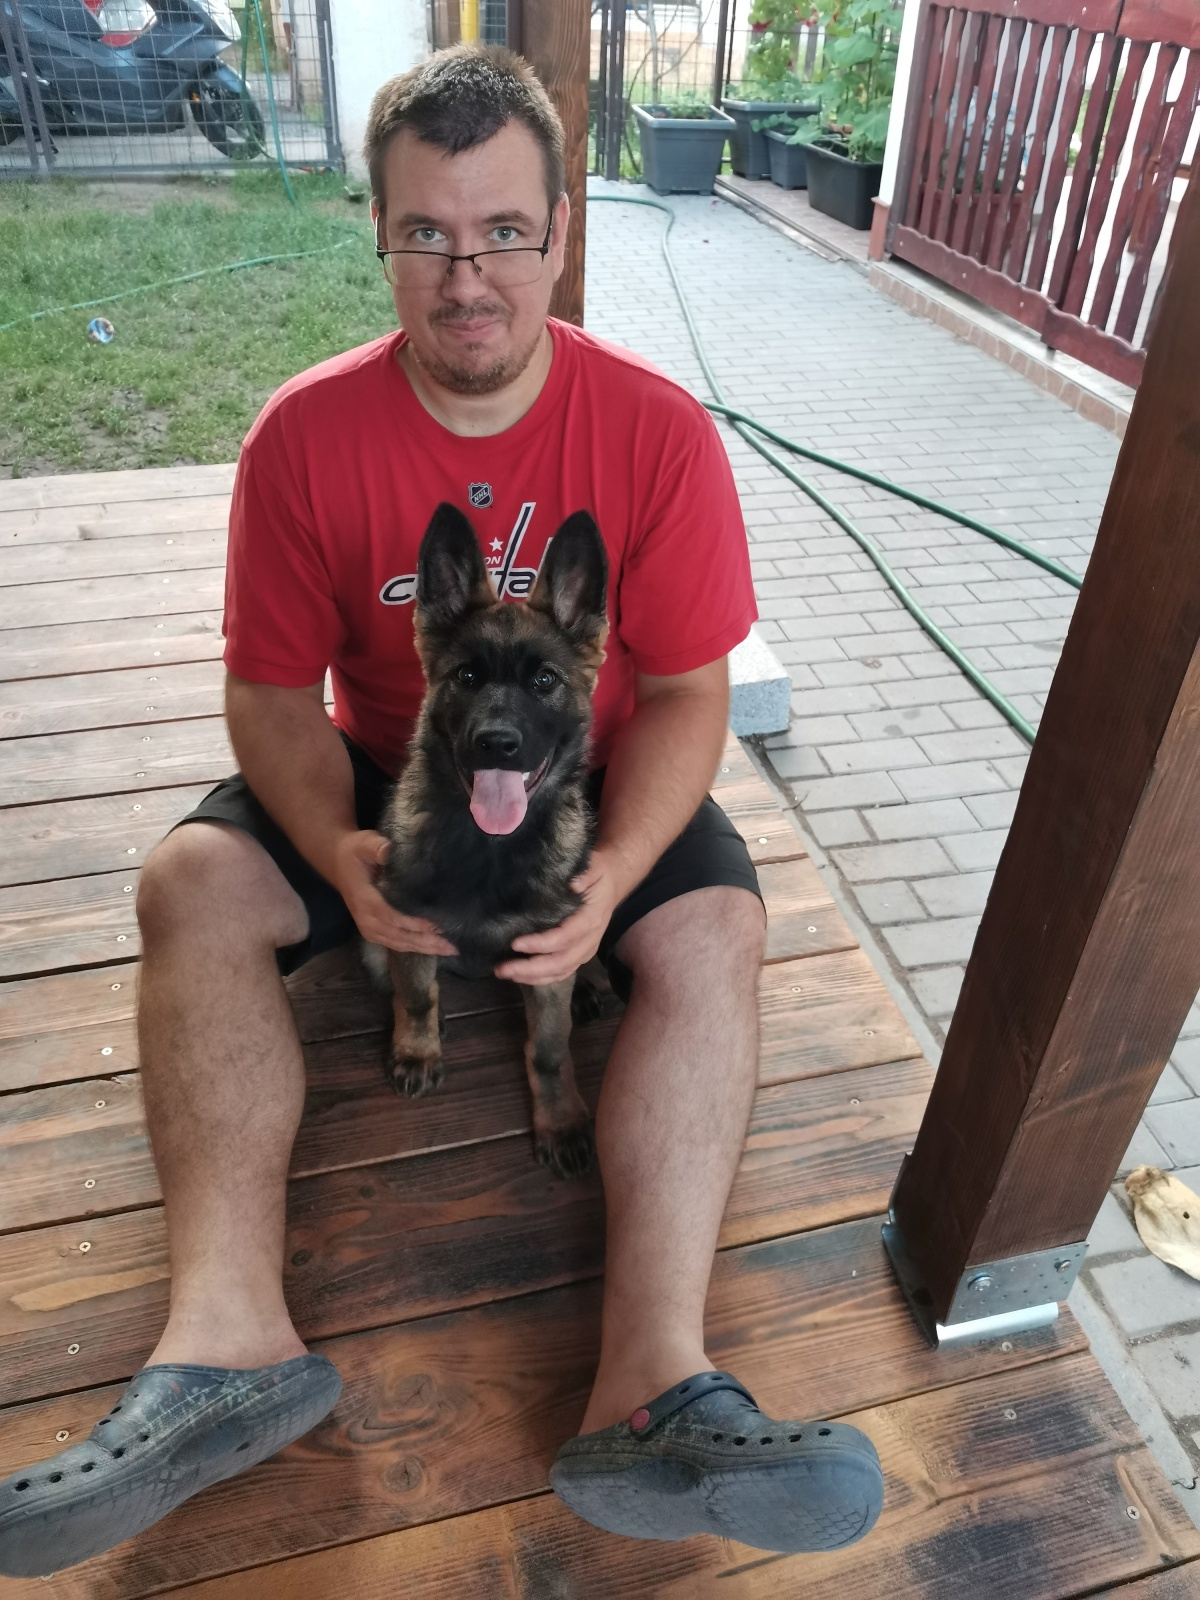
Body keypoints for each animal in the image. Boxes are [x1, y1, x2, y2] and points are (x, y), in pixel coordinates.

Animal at [364, 501, 609, 1179]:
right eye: (467, 676)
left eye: (545, 681)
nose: (497, 742)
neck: (488, 848)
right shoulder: (404, 927)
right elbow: (417, 994)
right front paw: (419, 1050)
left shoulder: (546, 964)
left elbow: (549, 1050)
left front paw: (560, 1119)